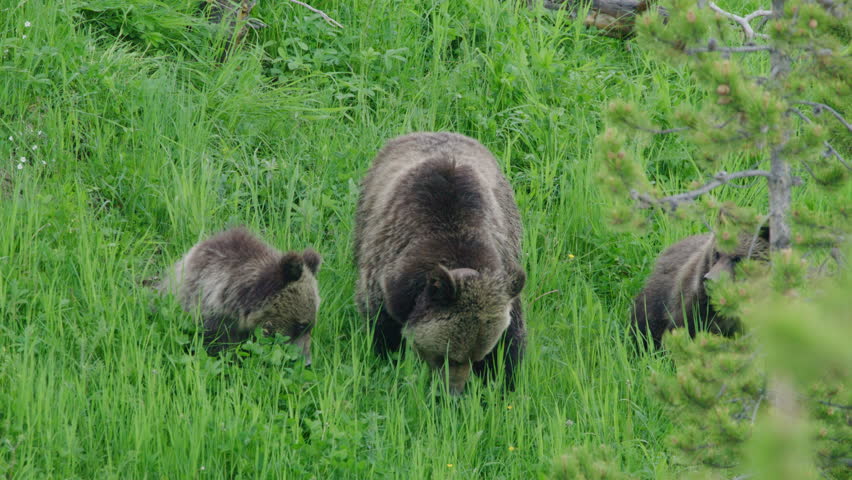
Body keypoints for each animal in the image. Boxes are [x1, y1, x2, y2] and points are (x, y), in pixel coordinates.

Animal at [354, 132, 526, 395]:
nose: (454, 392)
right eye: (448, 357)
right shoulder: (385, 279)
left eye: (476, 358)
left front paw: (502, 383)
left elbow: (510, 345)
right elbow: (383, 330)